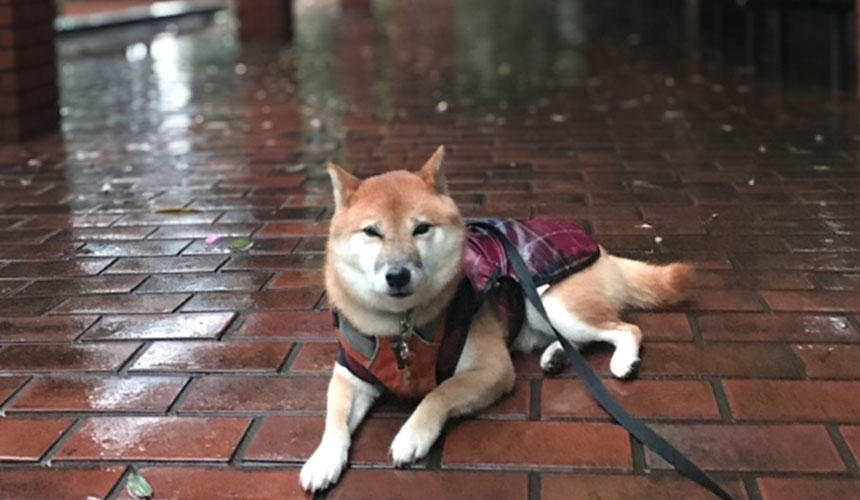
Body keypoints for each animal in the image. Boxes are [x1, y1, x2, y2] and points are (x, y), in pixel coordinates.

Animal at [298, 146, 696, 492]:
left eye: (421, 228)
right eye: (371, 231)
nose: (397, 275)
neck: (402, 328)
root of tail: (603, 250)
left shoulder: (492, 368)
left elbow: (439, 393)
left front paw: (413, 434)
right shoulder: (352, 374)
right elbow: (334, 419)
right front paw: (323, 460)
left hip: (551, 303)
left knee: (626, 328)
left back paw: (623, 360)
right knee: (583, 340)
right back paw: (556, 355)